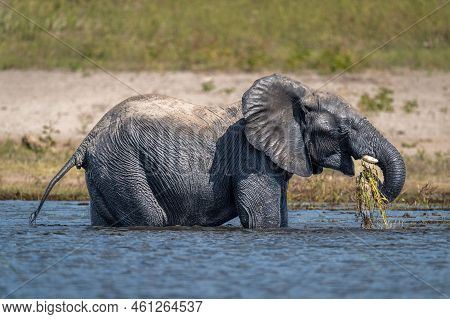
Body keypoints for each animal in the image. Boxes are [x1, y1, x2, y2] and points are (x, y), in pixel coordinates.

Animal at [29, 74, 406, 229]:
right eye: (345, 128)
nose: (376, 185)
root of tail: (87, 140)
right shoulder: (251, 159)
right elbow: (262, 218)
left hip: (107, 171)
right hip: (123, 165)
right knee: (151, 218)